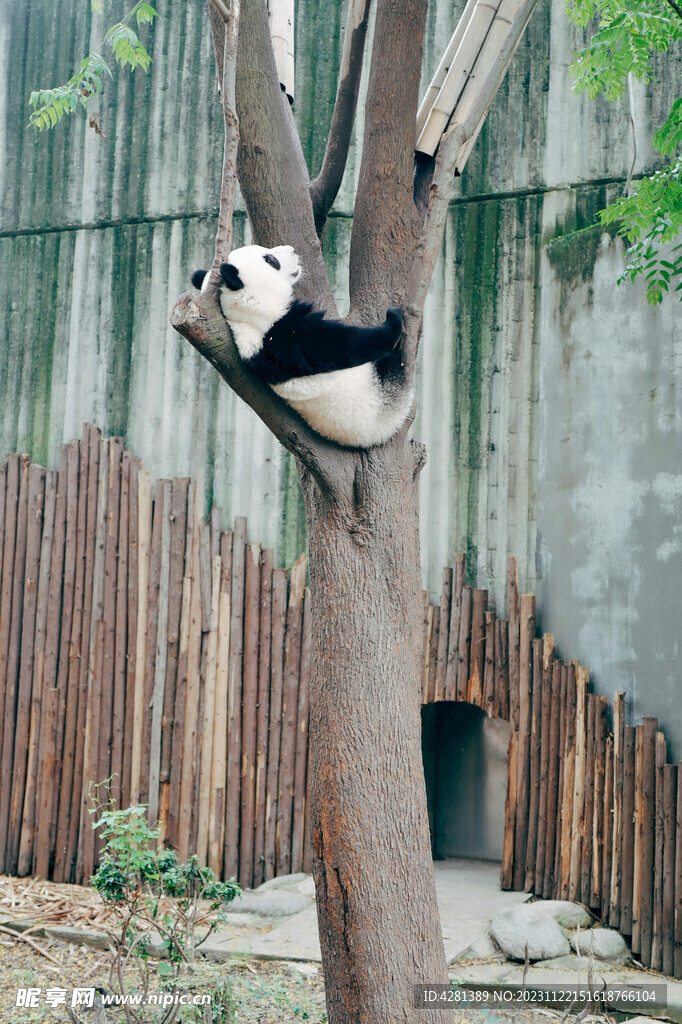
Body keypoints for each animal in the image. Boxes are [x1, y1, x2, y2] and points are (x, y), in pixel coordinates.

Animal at [191, 245, 413, 450]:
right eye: (270, 259)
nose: (292, 249)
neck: (247, 311)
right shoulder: (284, 335)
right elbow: (342, 345)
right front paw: (392, 322)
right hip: (382, 396)